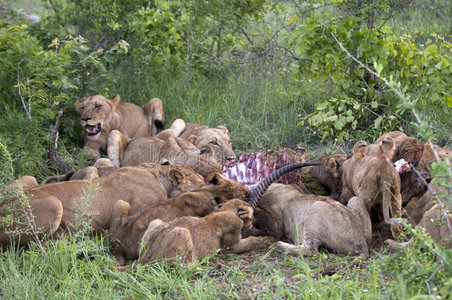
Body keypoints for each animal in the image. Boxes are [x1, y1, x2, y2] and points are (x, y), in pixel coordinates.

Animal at [109, 173, 251, 264]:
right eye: (244, 195)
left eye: (240, 184)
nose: (249, 192)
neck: (209, 192)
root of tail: (118, 245)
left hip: (121, 203)